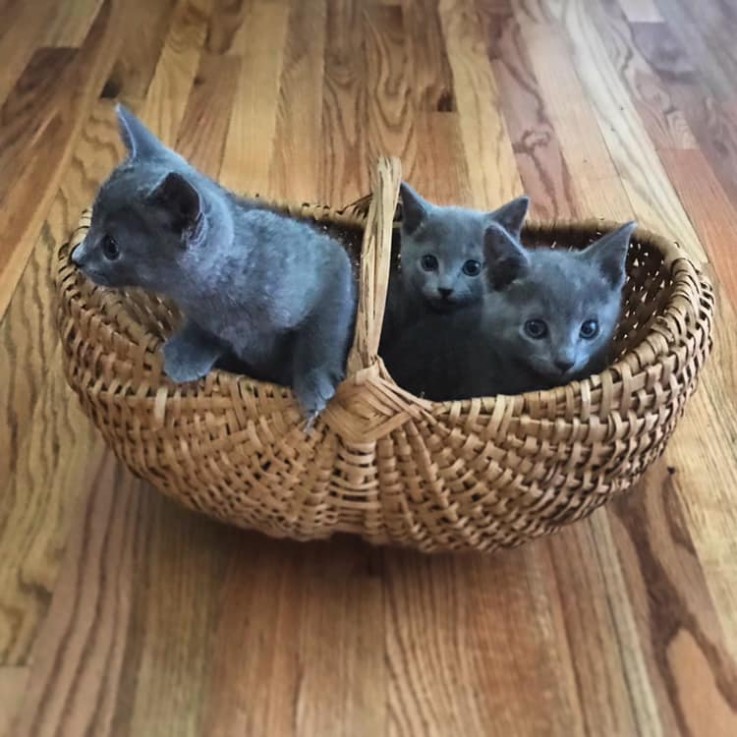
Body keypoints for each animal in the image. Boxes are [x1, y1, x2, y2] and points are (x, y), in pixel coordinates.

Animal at [72, 105, 356, 426]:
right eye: (92, 224)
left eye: (111, 247)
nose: (76, 257)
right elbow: (209, 333)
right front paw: (187, 351)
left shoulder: (333, 261)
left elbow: (321, 332)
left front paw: (313, 388)